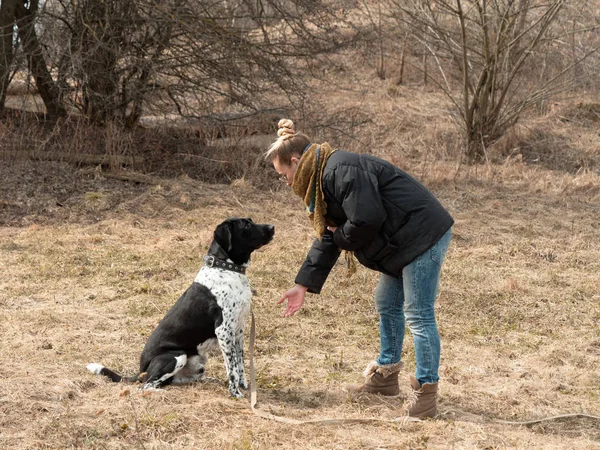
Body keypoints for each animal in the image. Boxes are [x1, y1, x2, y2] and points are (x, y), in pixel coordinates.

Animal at [86, 218, 274, 398]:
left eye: (251, 221)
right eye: (246, 226)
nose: (272, 227)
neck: (226, 268)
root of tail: (141, 370)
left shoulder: (238, 330)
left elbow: (239, 364)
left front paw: (244, 387)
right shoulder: (224, 330)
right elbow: (232, 368)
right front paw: (235, 394)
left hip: (197, 364)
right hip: (176, 356)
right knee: (146, 385)